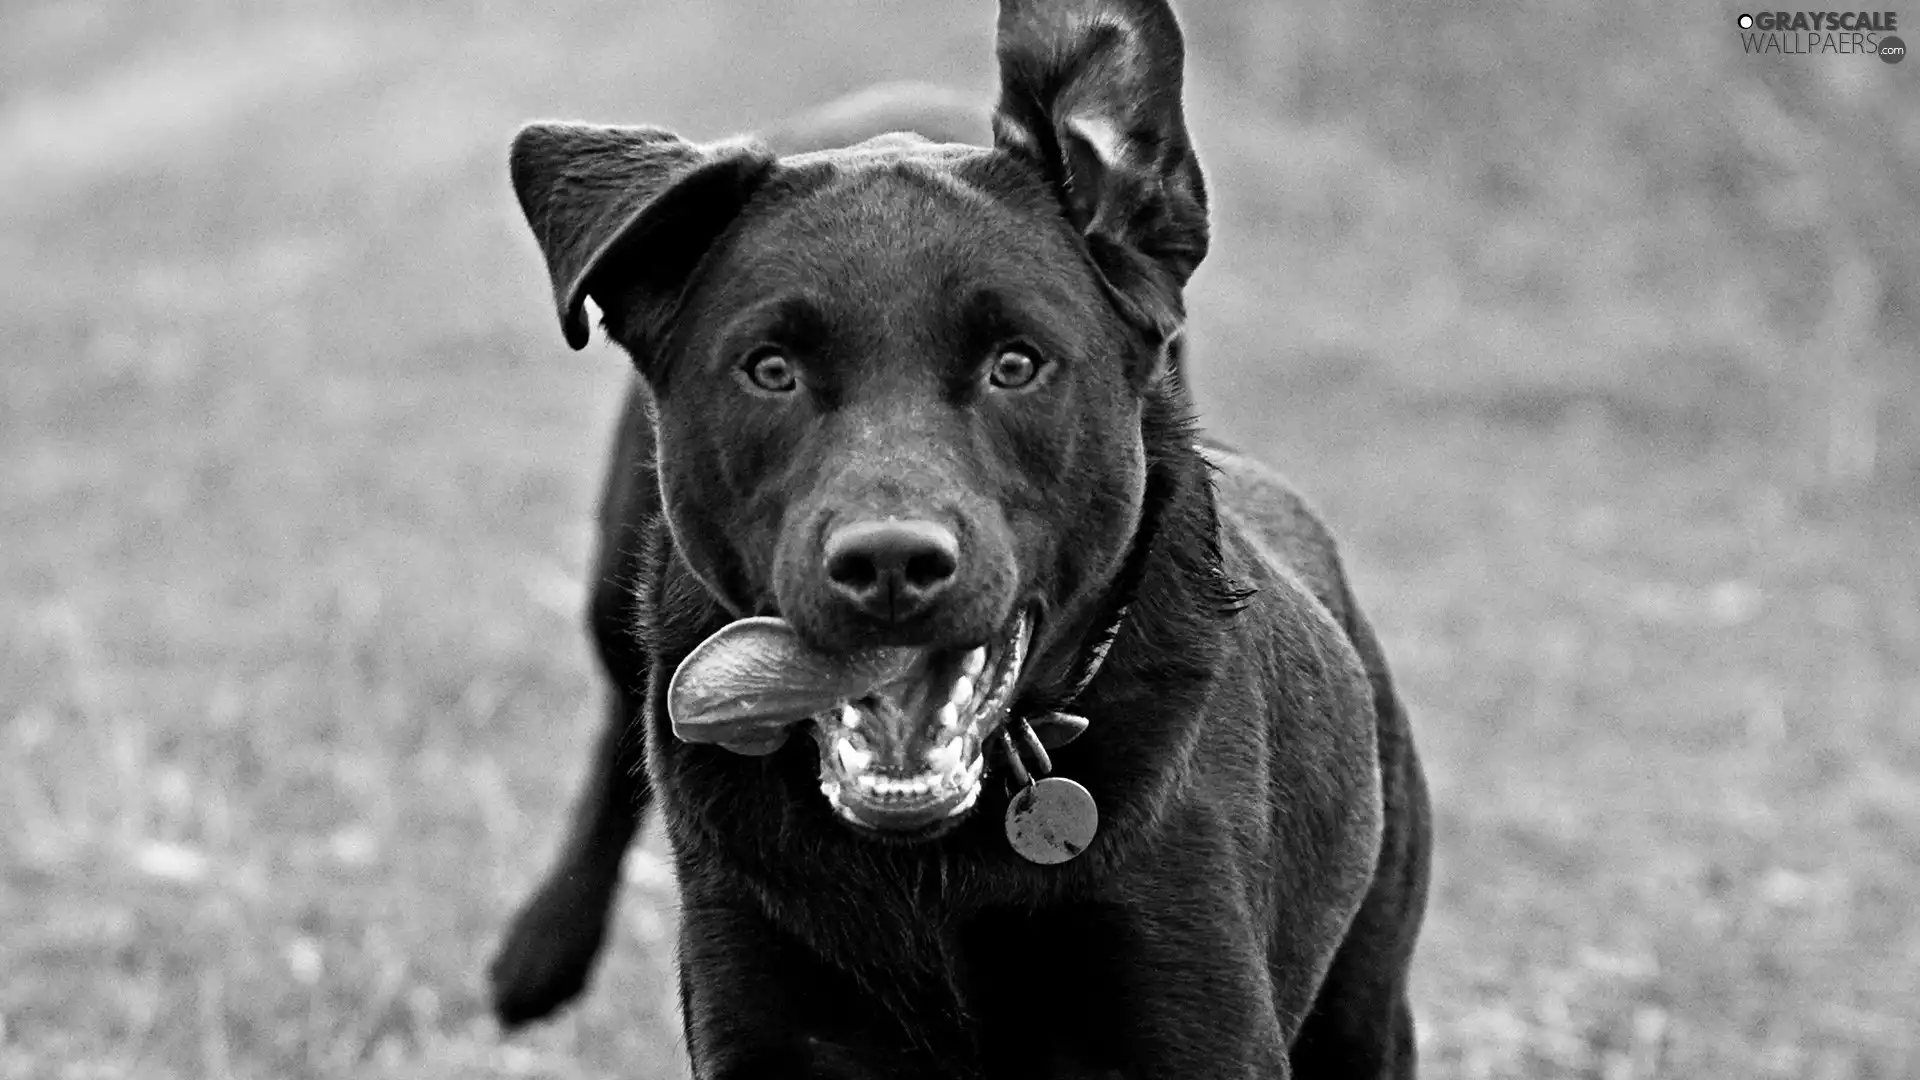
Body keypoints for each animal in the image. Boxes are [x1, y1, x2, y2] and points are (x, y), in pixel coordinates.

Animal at [487, 4, 1436, 1068]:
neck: (933, 870)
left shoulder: (1196, 1012)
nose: (890, 562)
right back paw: (539, 951)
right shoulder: (757, 1003)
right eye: (770, 369)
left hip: (1365, 1002)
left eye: (1015, 364)